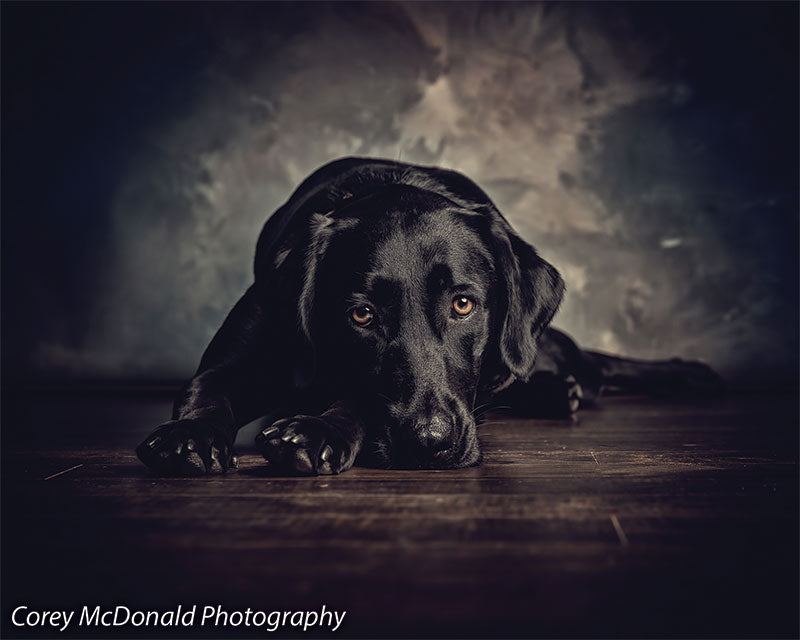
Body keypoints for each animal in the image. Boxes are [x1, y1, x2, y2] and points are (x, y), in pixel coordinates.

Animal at [136, 157, 721, 476]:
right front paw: (189, 435)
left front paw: (315, 429)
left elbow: (358, 398)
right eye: (362, 315)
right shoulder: (240, 355)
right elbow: (207, 391)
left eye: (463, 303)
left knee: (583, 365)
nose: (430, 442)